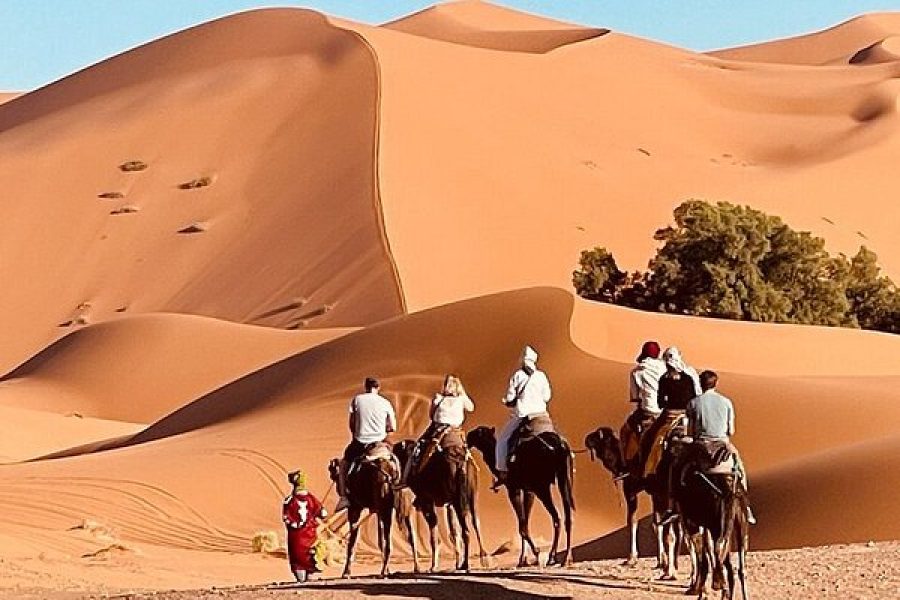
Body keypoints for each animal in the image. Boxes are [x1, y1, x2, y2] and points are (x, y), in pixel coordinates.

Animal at [394, 434, 488, 568]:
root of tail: (461, 462)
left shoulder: (426, 501)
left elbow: (434, 532)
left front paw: (433, 566)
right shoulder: (448, 504)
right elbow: (453, 531)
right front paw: (455, 563)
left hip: (458, 499)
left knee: (466, 529)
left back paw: (465, 564)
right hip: (472, 495)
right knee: (475, 522)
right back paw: (483, 559)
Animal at [464, 422, 576, 568]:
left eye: (478, 432)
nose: (467, 437)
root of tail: (561, 445)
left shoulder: (514, 489)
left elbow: (522, 526)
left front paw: (536, 553)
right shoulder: (529, 491)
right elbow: (525, 522)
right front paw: (523, 560)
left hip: (542, 486)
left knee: (557, 517)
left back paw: (552, 557)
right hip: (564, 478)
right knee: (567, 516)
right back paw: (566, 558)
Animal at [584, 424, 684, 580]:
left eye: (595, 437)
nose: (586, 439)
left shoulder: (630, 488)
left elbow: (632, 521)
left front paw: (631, 558)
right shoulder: (654, 493)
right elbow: (656, 524)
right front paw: (662, 561)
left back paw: (672, 571)